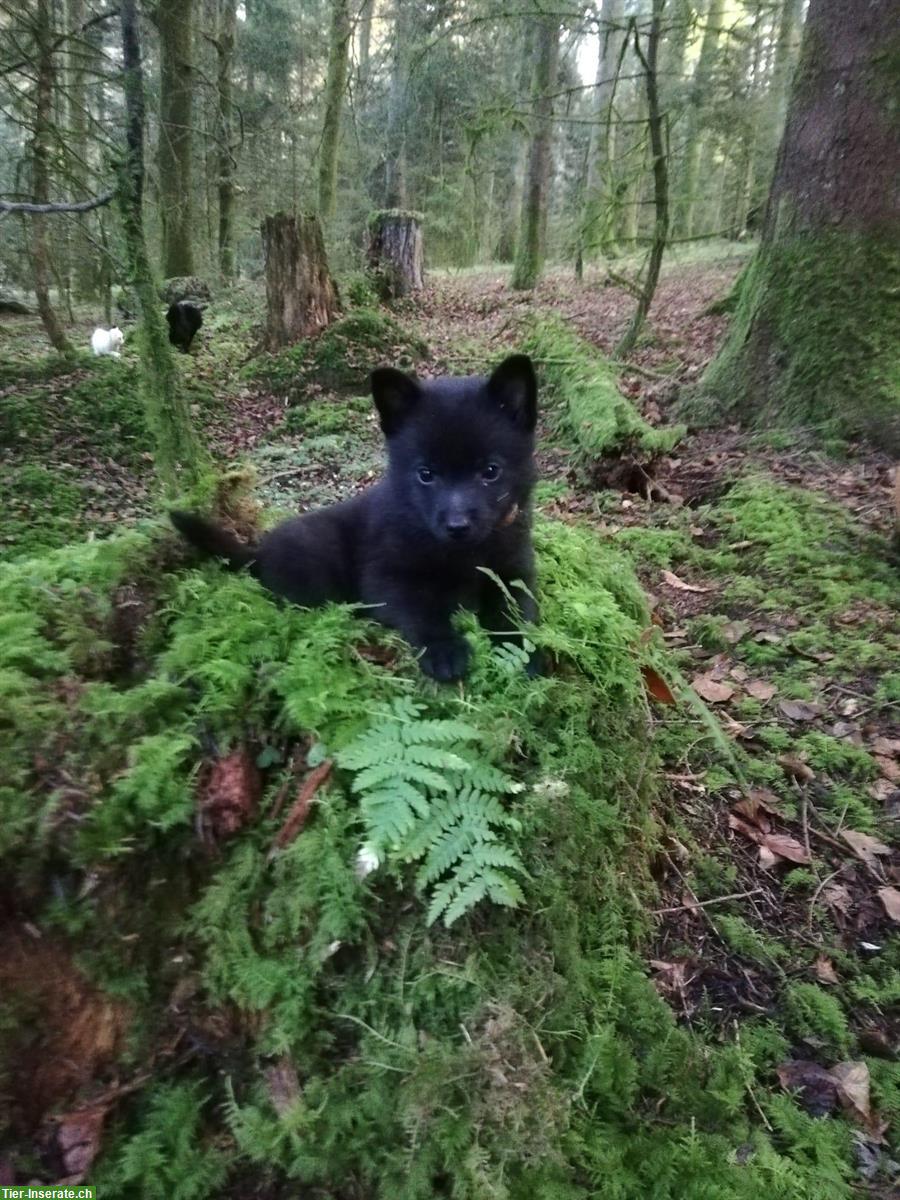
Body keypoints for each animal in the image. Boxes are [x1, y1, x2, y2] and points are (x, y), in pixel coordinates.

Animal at [171, 350, 540, 681]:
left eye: (490, 471)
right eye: (425, 474)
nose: (457, 526)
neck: (463, 554)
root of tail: (258, 552)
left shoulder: (514, 572)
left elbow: (518, 611)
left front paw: (527, 654)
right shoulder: (385, 577)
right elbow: (421, 609)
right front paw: (444, 649)